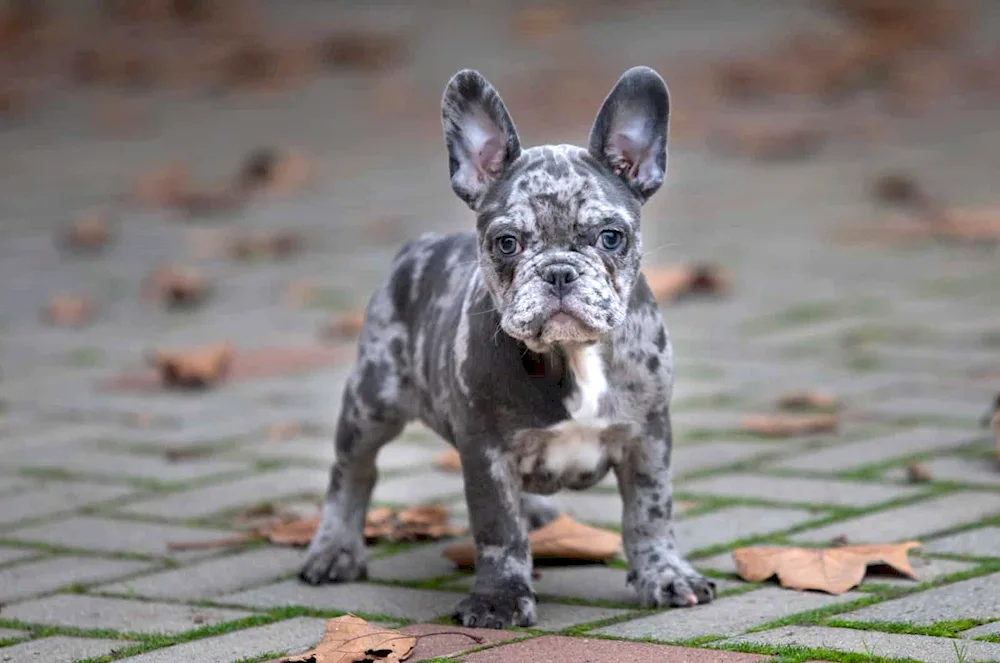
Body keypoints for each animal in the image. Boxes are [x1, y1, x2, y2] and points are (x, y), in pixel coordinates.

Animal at [300, 66, 716, 628]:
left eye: (611, 237)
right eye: (506, 243)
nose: (558, 271)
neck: (572, 355)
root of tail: (417, 246)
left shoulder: (648, 436)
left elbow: (650, 513)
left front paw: (666, 575)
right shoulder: (487, 453)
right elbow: (500, 528)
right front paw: (499, 596)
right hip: (373, 400)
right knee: (352, 471)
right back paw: (334, 549)